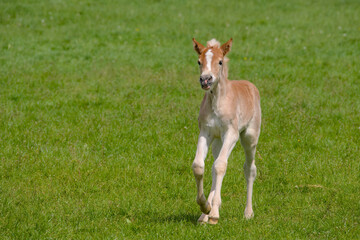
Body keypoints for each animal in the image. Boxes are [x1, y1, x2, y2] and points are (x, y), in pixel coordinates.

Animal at [191, 38, 262, 224]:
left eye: (220, 62)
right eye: (199, 61)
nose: (206, 80)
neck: (217, 101)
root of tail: (251, 86)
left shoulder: (231, 133)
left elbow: (221, 165)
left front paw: (214, 214)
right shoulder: (205, 132)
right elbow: (199, 166)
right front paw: (205, 207)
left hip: (249, 137)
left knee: (249, 168)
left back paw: (248, 212)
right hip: (217, 141)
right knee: (213, 166)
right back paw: (205, 214)